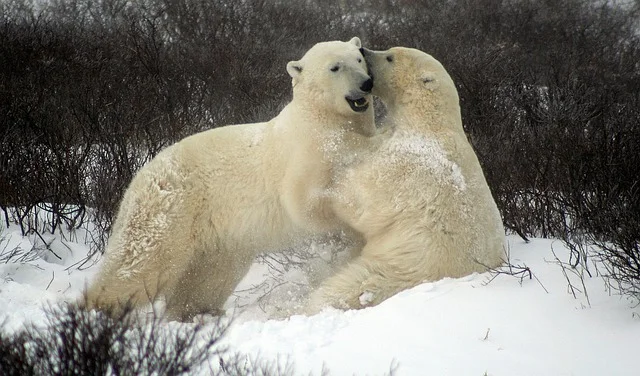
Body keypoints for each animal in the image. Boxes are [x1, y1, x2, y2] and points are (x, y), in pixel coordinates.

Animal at [82, 37, 378, 320]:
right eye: (335, 67)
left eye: (358, 58)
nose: (366, 83)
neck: (320, 118)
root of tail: (138, 177)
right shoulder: (305, 153)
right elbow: (305, 203)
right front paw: (346, 234)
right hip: (171, 208)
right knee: (141, 263)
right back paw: (96, 310)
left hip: (218, 238)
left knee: (209, 277)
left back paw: (195, 312)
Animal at [308, 46, 508, 312]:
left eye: (390, 56)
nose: (363, 49)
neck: (429, 123)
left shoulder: (409, 163)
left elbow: (365, 199)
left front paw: (331, 184)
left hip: (400, 267)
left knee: (347, 287)